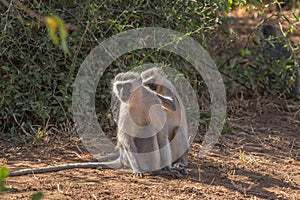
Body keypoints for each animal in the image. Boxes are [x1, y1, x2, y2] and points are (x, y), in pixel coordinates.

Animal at [9, 71, 180, 177]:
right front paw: (137, 169)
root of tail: (122, 159)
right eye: (119, 86)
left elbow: (161, 134)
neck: (137, 100)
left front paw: (168, 168)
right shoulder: (125, 108)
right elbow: (126, 139)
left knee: (152, 135)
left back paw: (159, 170)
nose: (121, 92)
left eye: (126, 85)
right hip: (129, 157)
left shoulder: (153, 101)